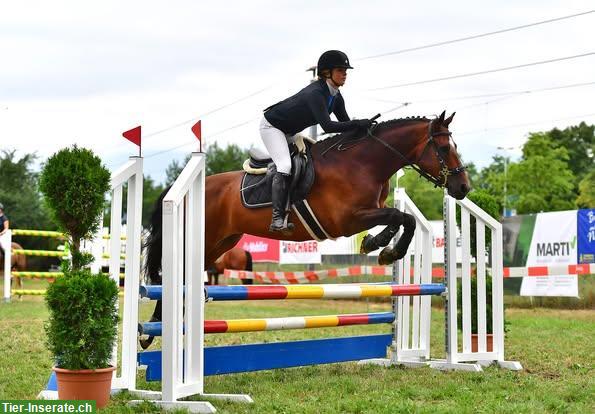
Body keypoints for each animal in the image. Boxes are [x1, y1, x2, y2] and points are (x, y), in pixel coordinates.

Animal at [140, 111, 470, 348]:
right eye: (443, 147)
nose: (463, 187)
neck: (363, 163)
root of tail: (180, 188)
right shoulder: (347, 219)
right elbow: (402, 217)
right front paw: (386, 249)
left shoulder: (366, 213)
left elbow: (404, 219)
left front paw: (379, 245)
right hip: (202, 239)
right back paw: (151, 331)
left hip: (220, 243)